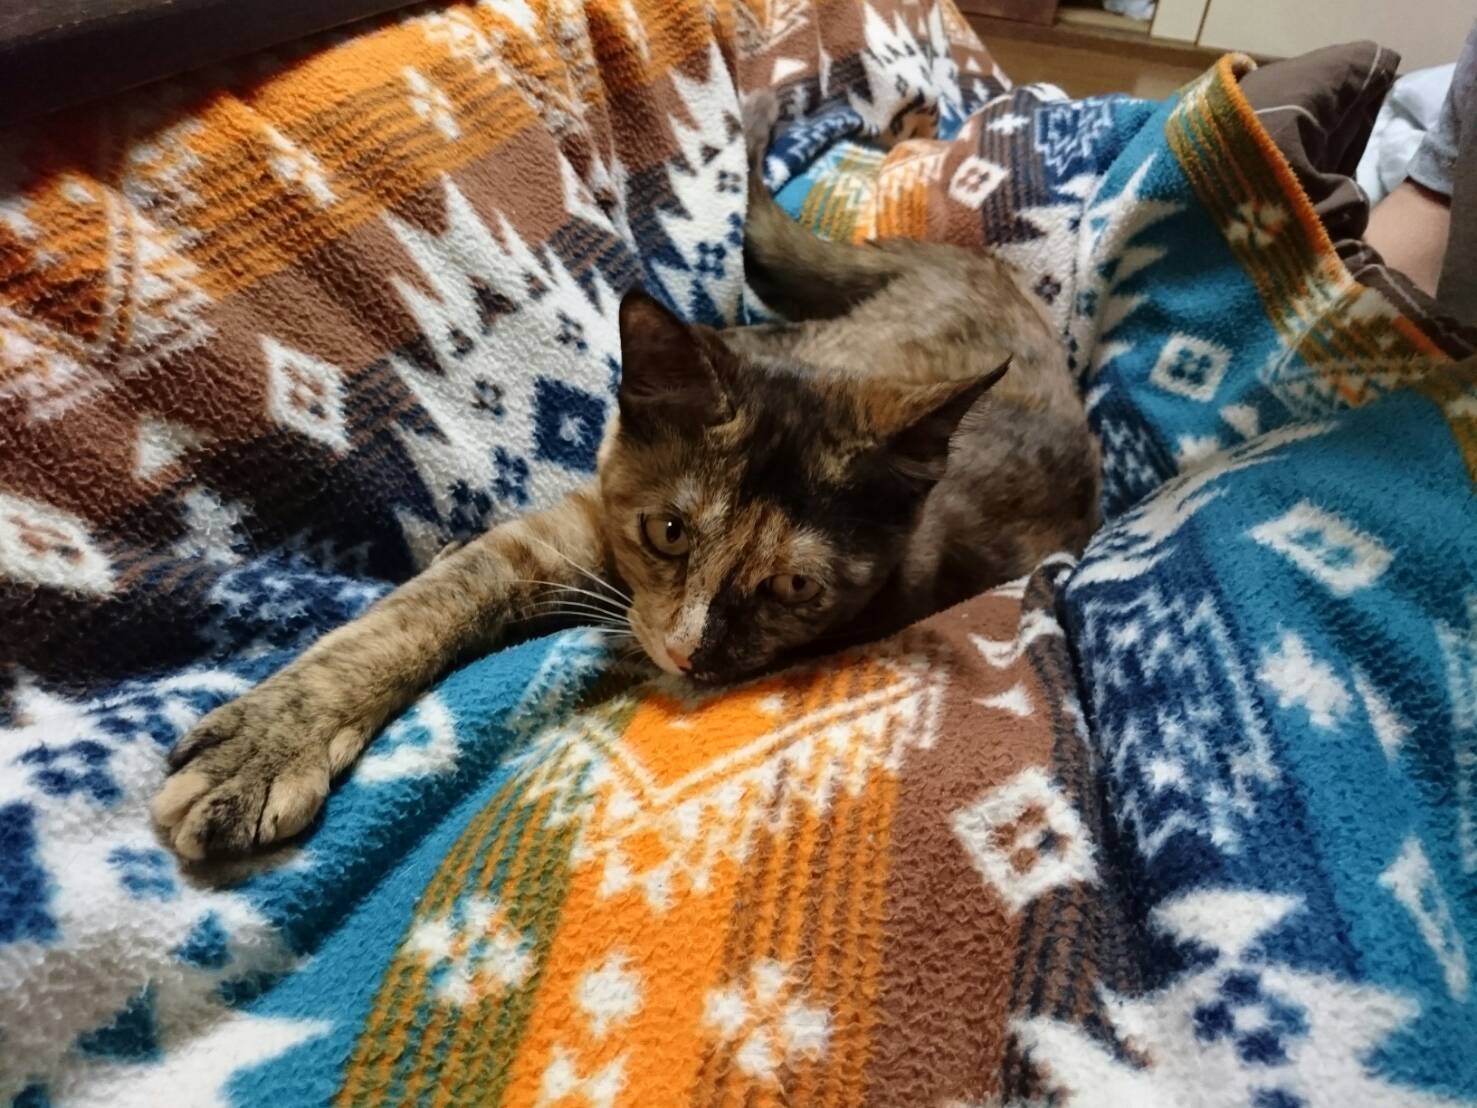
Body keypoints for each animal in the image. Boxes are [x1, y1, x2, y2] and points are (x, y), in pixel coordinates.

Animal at [153, 98, 1100, 861]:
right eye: (669, 531)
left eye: (796, 586)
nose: (687, 652)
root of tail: (985, 272)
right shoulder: (566, 533)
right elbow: (420, 610)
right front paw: (268, 745)